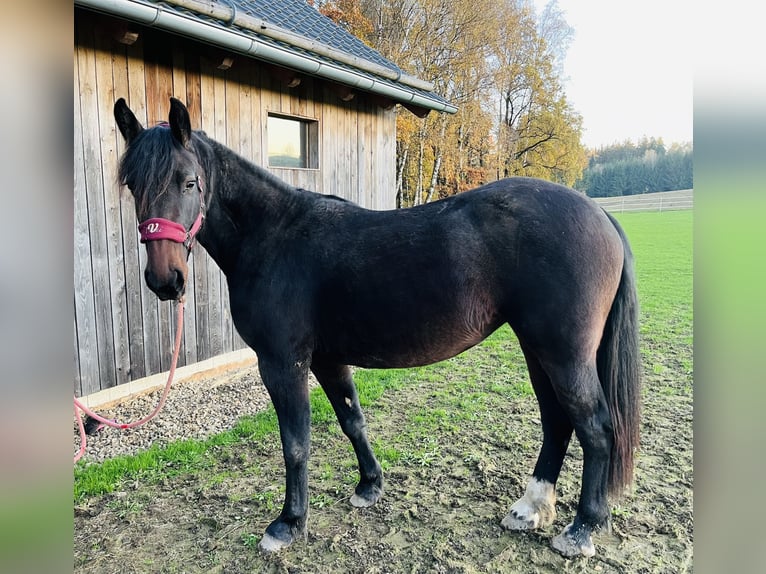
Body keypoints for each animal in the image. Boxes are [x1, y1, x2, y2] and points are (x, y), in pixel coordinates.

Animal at [115, 98, 640, 560]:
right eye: (133, 184)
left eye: (189, 181)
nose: (165, 280)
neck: (274, 238)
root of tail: (599, 214)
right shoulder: (328, 359)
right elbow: (352, 419)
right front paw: (370, 486)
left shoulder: (283, 363)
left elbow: (296, 443)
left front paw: (288, 523)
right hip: (538, 350)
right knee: (557, 422)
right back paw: (531, 508)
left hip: (563, 354)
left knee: (595, 427)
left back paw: (581, 528)